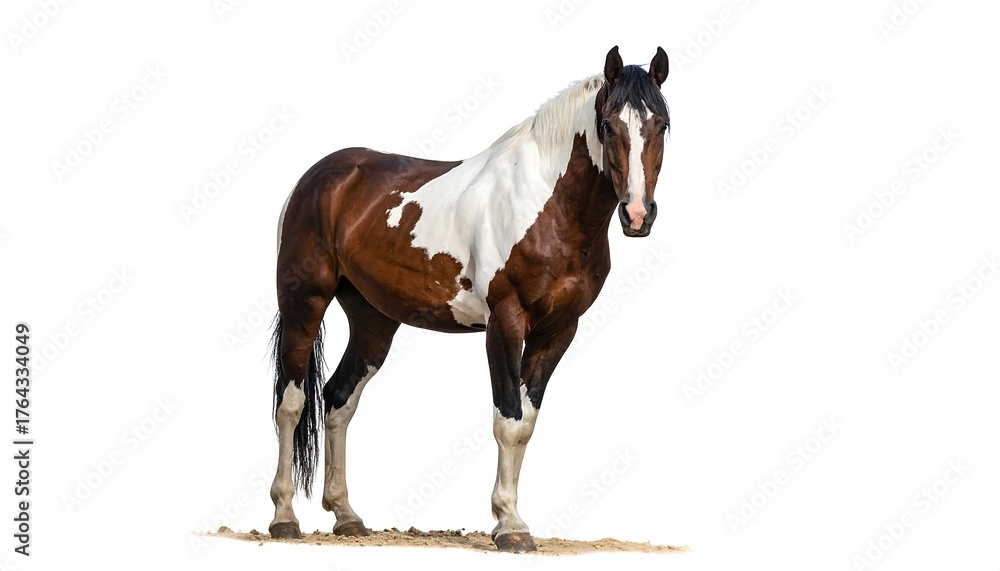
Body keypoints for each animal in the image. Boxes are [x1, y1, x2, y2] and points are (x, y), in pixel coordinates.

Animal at [267, 45, 670, 553]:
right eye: (608, 126)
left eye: (662, 124)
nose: (637, 215)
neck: (546, 206)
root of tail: (318, 177)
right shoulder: (505, 322)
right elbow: (507, 419)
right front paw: (510, 526)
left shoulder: (559, 330)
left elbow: (526, 423)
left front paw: (509, 521)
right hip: (303, 304)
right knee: (291, 402)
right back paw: (284, 518)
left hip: (373, 320)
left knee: (338, 399)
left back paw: (347, 516)